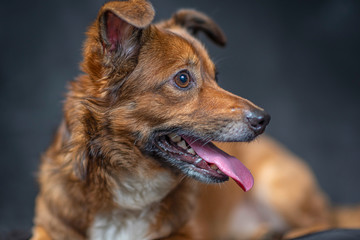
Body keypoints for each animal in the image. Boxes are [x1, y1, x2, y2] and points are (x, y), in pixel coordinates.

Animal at [31, 0, 360, 240]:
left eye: (217, 77)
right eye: (183, 79)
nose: (264, 120)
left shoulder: (186, 233)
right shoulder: (49, 228)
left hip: (278, 186)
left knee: (321, 222)